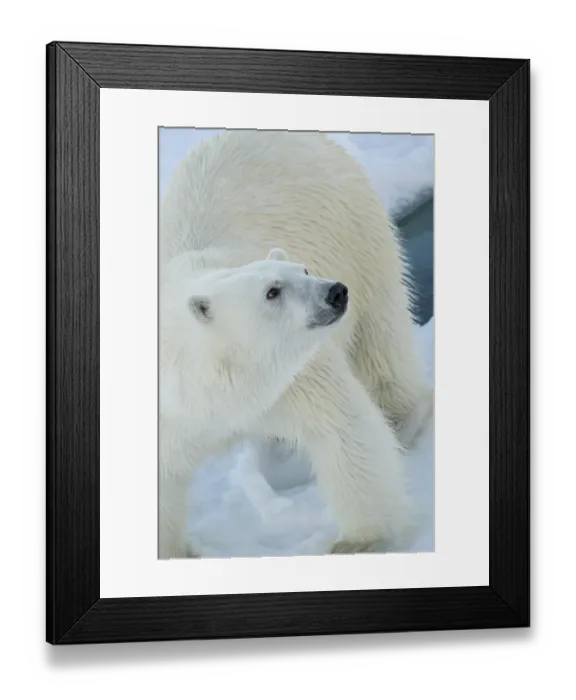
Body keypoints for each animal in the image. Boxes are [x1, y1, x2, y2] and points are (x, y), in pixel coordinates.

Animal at [158, 130, 433, 559]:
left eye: (302, 269)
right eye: (273, 291)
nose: (335, 292)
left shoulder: (294, 375)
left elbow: (343, 427)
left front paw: (358, 542)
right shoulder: (172, 418)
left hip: (356, 226)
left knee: (381, 332)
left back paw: (402, 416)